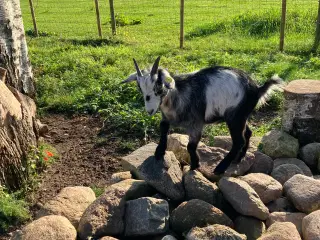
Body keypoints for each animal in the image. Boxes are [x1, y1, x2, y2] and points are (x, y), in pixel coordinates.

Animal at [121, 57, 282, 174]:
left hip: (234, 117)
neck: (178, 95)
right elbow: (163, 128)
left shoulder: (196, 123)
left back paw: (220, 168)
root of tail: (257, 89)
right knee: (248, 133)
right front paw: (159, 152)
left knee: (238, 141)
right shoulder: (166, 118)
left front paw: (195, 165)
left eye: (158, 86)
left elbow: (191, 146)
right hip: (241, 116)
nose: (150, 110)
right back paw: (240, 158)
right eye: (140, 88)